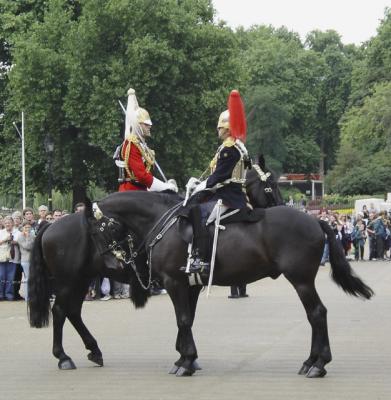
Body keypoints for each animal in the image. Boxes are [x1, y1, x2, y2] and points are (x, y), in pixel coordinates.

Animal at [28, 163, 374, 378]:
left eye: (100, 228)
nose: (114, 262)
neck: (159, 221)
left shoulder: (177, 283)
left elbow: (183, 319)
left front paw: (185, 361)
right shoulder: (185, 283)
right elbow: (186, 319)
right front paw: (187, 358)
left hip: (300, 279)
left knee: (316, 313)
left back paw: (316, 363)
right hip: (73, 279)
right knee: (65, 311)